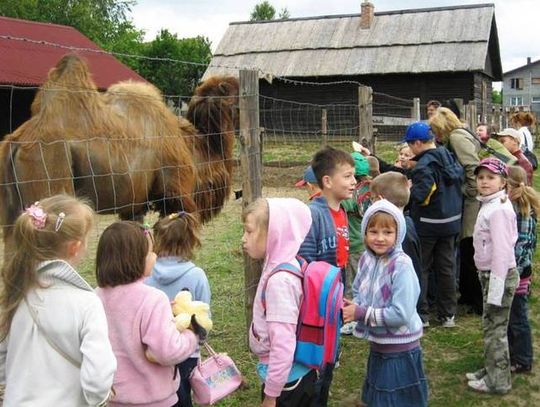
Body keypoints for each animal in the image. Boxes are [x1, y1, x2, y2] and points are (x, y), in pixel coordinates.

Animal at [0, 54, 237, 249]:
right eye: (234, 95)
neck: (192, 145)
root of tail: (15, 142)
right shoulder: (176, 193)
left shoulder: (134, 203)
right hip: (49, 176)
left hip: (14, 209)